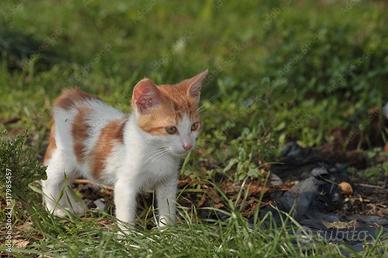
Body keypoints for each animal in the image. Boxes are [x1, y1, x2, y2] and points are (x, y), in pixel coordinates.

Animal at [41, 69, 208, 230]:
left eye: (194, 126)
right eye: (171, 129)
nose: (188, 145)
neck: (156, 151)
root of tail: (70, 95)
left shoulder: (168, 181)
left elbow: (167, 206)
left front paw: (167, 231)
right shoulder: (125, 185)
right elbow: (126, 214)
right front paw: (128, 237)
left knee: (64, 182)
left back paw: (74, 205)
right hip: (64, 158)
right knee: (49, 180)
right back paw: (56, 210)